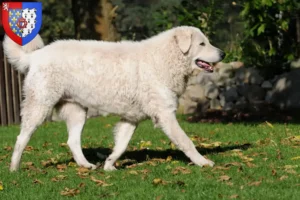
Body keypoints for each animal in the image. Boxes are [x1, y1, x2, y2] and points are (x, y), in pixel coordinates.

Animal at [3, 25, 225, 171]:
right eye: (202, 43)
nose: (223, 54)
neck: (164, 58)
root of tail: (35, 56)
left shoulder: (131, 119)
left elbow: (121, 145)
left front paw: (109, 165)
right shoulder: (166, 114)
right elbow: (186, 142)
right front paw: (203, 162)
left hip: (77, 113)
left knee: (72, 141)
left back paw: (86, 165)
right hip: (39, 106)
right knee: (21, 138)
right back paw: (14, 168)